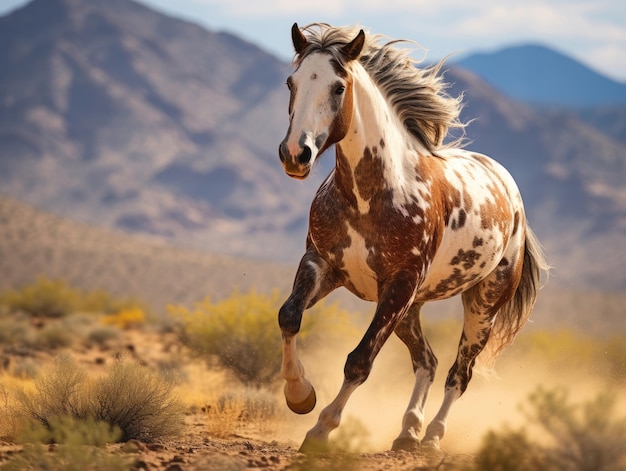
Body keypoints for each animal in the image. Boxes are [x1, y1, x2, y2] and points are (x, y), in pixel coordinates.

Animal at [276, 23, 544, 454]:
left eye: (338, 87)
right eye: (292, 82)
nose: (295, 155)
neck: (370, 197)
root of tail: (509, 189)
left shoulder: (399, 285)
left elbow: (359, 361)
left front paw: (319, 431)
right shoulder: (323, 266)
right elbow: (289, 317)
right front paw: (300, 396)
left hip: (480, 304)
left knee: (459, 373)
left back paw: (432, 436)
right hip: (410, 308)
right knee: (427, 361)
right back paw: (408, 432)